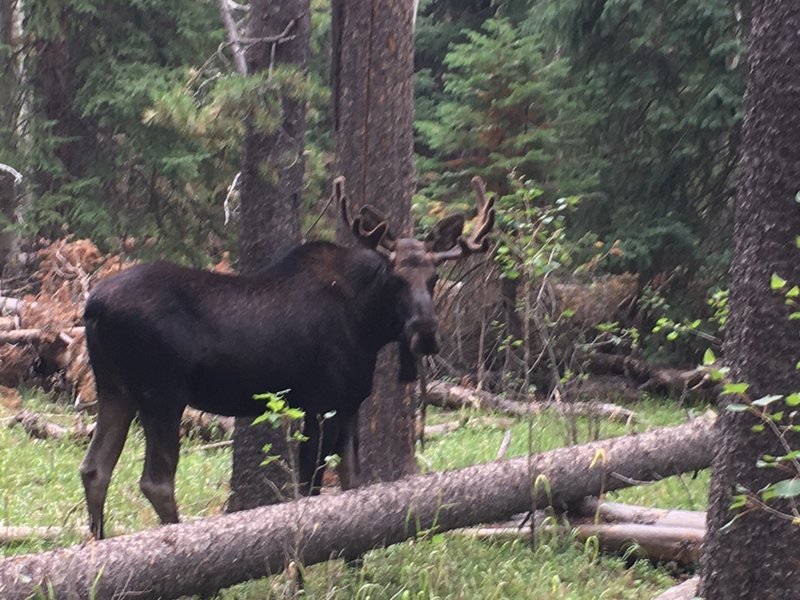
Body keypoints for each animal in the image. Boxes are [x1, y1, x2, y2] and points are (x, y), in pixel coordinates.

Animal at [81, 176, 494, 536]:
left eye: (433, 279)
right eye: (395, 280)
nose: (425, 333)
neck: (367, 326)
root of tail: (93, 304)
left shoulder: (349, 405)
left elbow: (352, 485)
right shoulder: (322, 404)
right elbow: (310, 488)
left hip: (115, 388)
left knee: (94, 468)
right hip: (162, 393)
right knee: (156, 480)